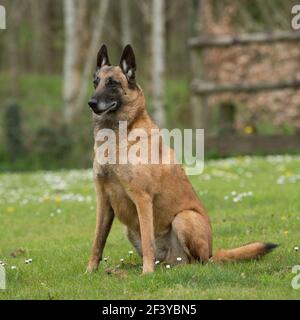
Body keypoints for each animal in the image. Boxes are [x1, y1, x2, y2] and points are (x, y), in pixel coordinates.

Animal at [85, 45, 278, 276]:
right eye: (96, 82)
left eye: (112, 83)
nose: (91, 103)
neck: (117, 138)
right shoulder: (104, 201)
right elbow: (98, 240)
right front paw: (90, 270)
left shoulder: (142, 198)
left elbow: (148, 241)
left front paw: (146, 273)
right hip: (130, 230)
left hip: (184, 218)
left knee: (200, 262)